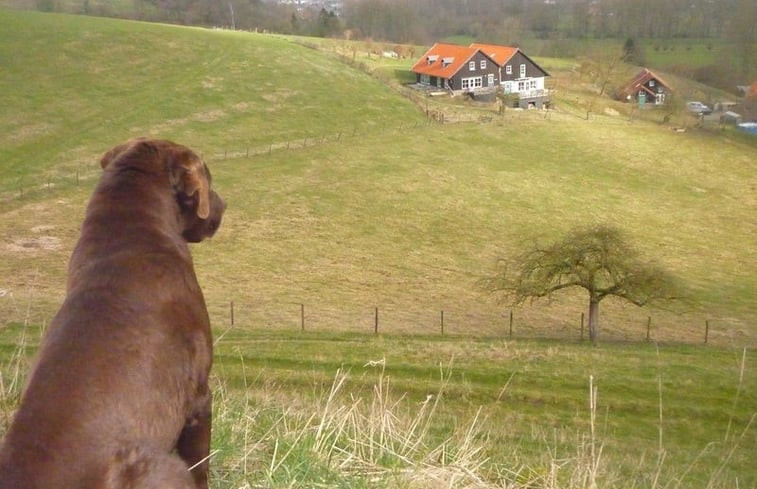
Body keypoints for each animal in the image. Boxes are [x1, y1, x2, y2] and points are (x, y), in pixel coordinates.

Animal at [0, 138, 224, 488]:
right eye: (208, 180)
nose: (223, 206)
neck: (131, 236)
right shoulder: (200, 397)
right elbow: (201, 466)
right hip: (163, 465)